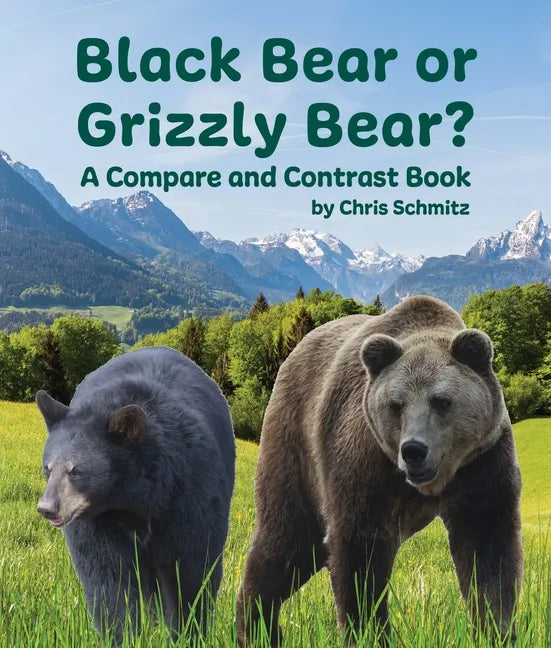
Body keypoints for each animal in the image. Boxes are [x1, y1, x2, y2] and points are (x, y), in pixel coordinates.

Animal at [36, 346, 235, 645]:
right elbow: (108, 579)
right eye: (48, 468)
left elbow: (191, 572)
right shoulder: (100, 522)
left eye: (76, 471)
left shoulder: (190, 493)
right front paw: (125, 636)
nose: (47, 508)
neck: (133, 500)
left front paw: (187, 634)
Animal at [237, 296, 522, 646]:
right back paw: (256, 626)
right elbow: (361, 552)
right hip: (296, 450)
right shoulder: (365, 460)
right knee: (285, 539)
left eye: (441, 401)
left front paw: (495, 628)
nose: (413, 450)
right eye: (396, 404)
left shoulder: (481, 465)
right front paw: (369, 632)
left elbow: (488, 551)